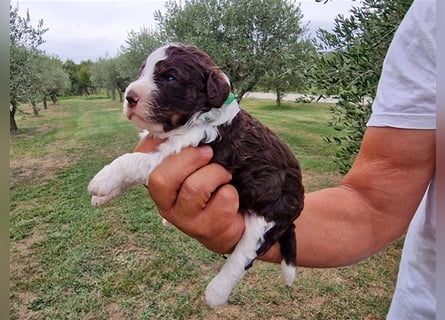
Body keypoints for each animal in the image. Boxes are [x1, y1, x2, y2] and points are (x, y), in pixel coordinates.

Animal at [88, 43, 304, 308]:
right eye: (141, 72)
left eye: (170, 77)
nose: (129, 97)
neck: (198, 119)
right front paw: (103, 196)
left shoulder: (175, 154)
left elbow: (131, 160)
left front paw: (102, 179)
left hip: (268, 215)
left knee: (244, 254)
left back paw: (217, 292)